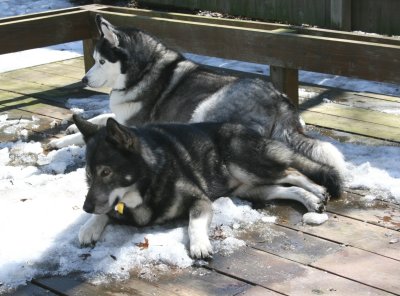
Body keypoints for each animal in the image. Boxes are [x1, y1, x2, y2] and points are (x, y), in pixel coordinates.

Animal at [48, 14, 346, 173]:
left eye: (101, 61)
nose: (84, 79)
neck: (142, 71)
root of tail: (280, 99)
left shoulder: (133, 123)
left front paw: (68, 139)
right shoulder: (121, 116)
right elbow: (100, 118)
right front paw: (68, 131)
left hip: (206, 107)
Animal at [73, 115, 342, 260]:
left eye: (106, 172)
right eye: (89, 174)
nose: (86, 207)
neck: (148, 180)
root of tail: (251, 131)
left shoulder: (199, 199)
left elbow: (194, 222)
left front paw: (199, 244)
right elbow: (105, 212)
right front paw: (89, 226)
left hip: (243, 164)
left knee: (292, 171)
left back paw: (317, 192)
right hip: (248, 188)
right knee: (284, 187)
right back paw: (310, 199)